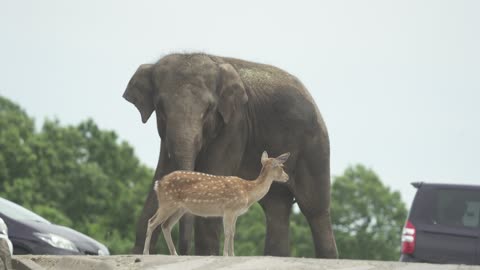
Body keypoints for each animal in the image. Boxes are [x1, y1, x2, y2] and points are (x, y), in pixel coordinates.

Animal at [143, 151, 288, 256]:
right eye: (281, 167)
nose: (287, 177)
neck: (248, 192)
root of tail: (158, 184)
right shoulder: (229, 209)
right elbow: (228, 232)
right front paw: (225, 254)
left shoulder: (235, 213)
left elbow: (233, 232)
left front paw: (233, 255)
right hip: (167, 202)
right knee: (151, 221)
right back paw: (146, 253)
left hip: (179, 208)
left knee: (165, 225)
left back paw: (175, 254)